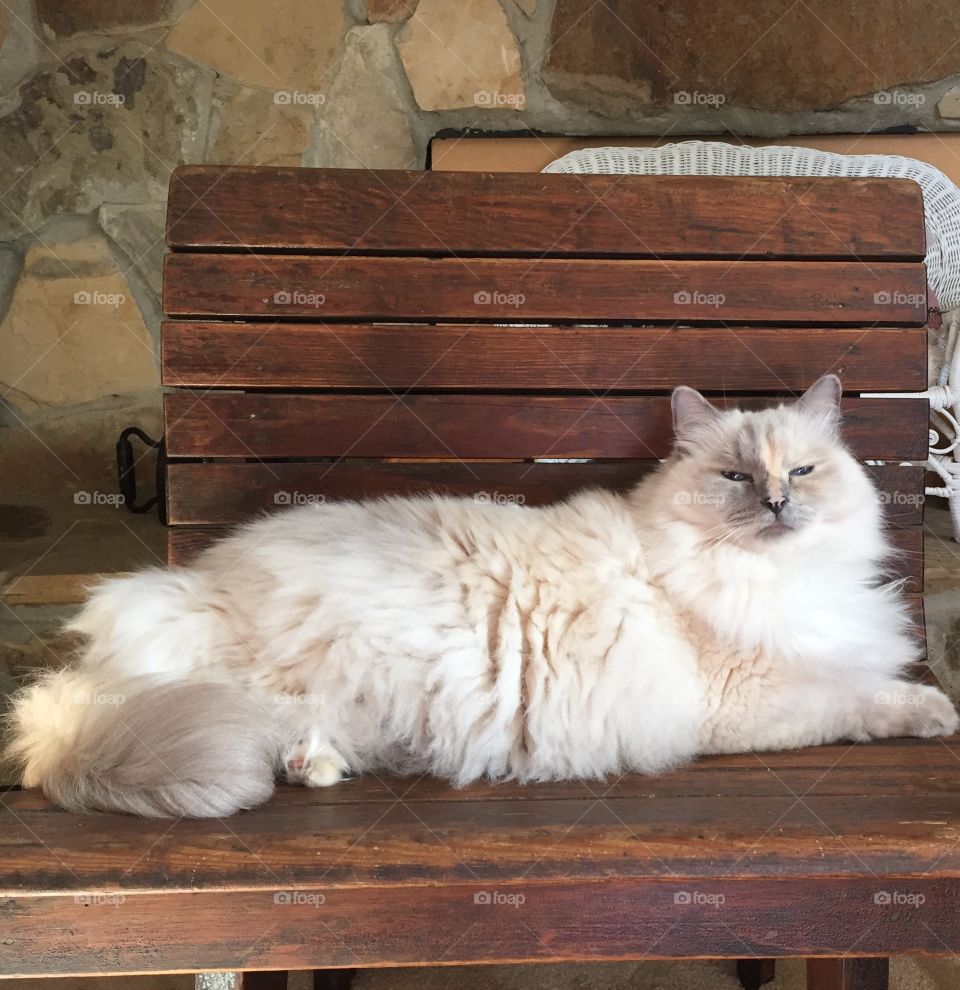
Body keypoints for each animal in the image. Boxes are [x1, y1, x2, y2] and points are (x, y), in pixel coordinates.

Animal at [5, 376, 952, 816]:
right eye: (735, 478)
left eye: (803, 471)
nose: (779, 503)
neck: (776, 577)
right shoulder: (749, 695)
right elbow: (861, 699)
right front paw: (936, 715)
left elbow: (867, 681)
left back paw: (319, 767)